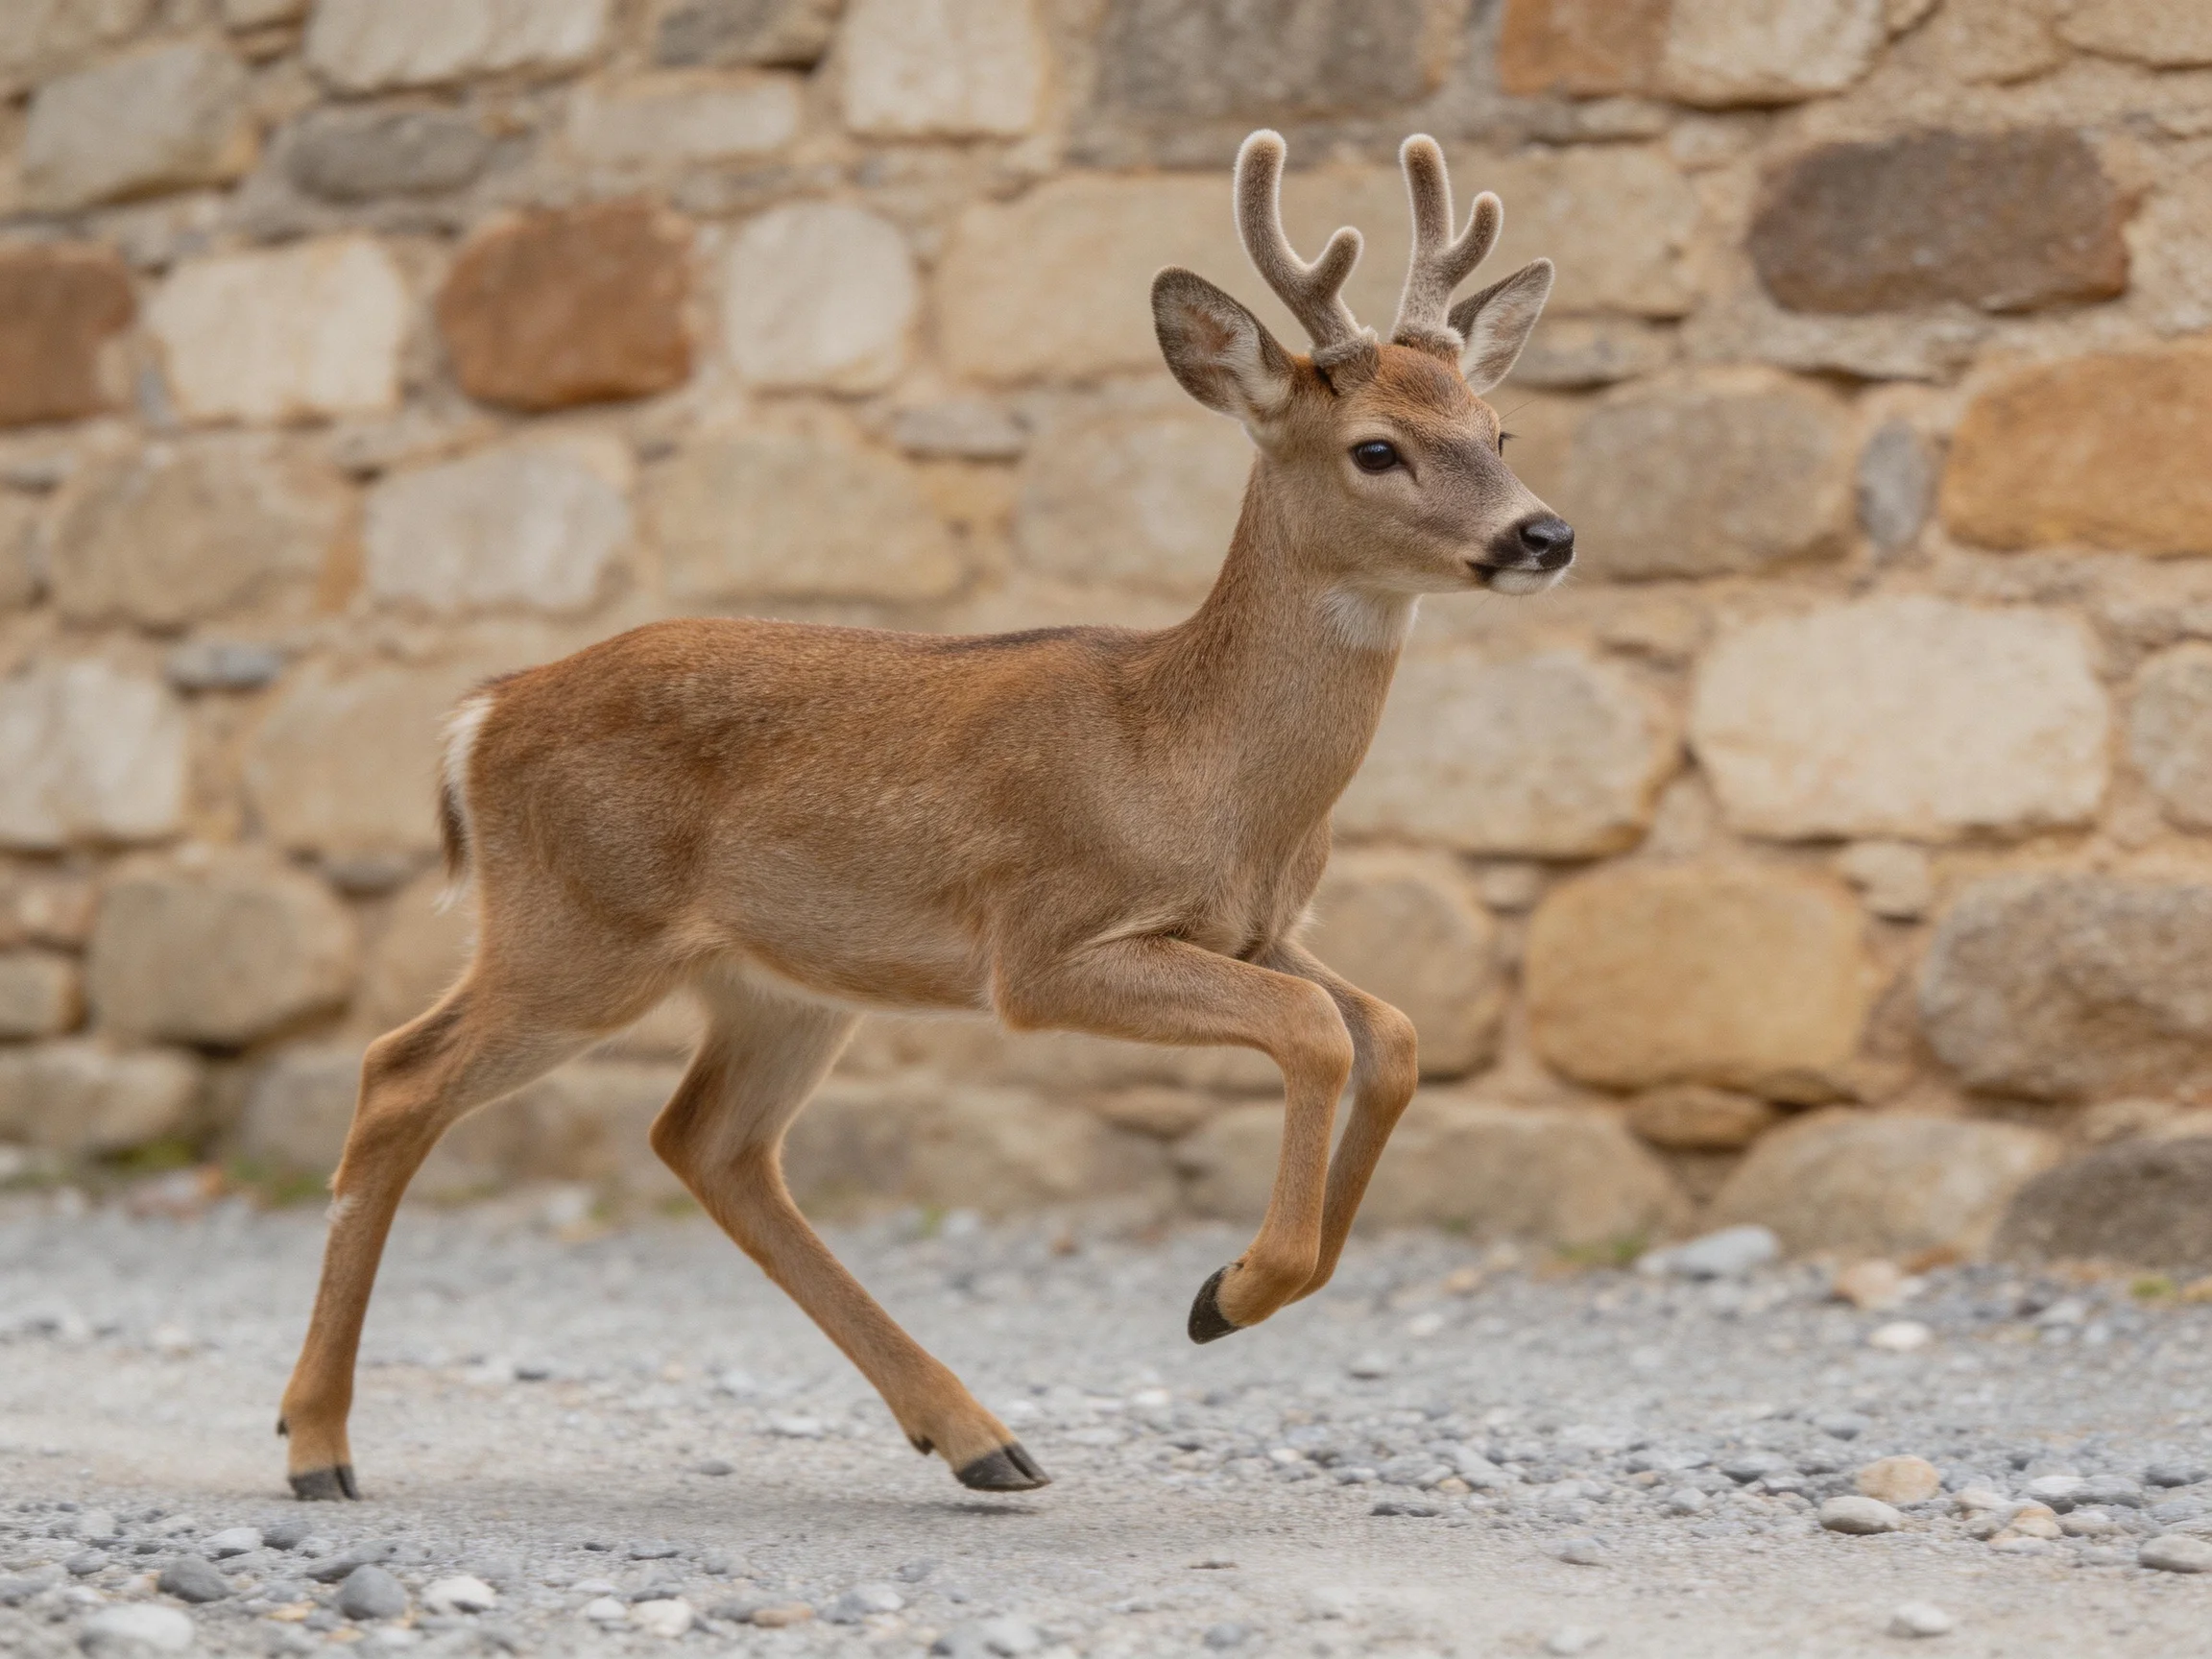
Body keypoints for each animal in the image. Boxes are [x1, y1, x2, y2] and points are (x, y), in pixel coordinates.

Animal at [276, 129, 1573, 1501]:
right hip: (575, 927)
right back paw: (317, 1446)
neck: (1193, 762)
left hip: (776, 981)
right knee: (401, 1075)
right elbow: (1316, 1033)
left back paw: (978, 1437)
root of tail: (481, 713)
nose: (1544, 532)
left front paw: (1240, 1287)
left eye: (1497, 424)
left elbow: (1393, 1032)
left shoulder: (1259, 927)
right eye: (1377, 448)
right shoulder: (1044, 943)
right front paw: (1231, 1292)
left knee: (707, 1142)